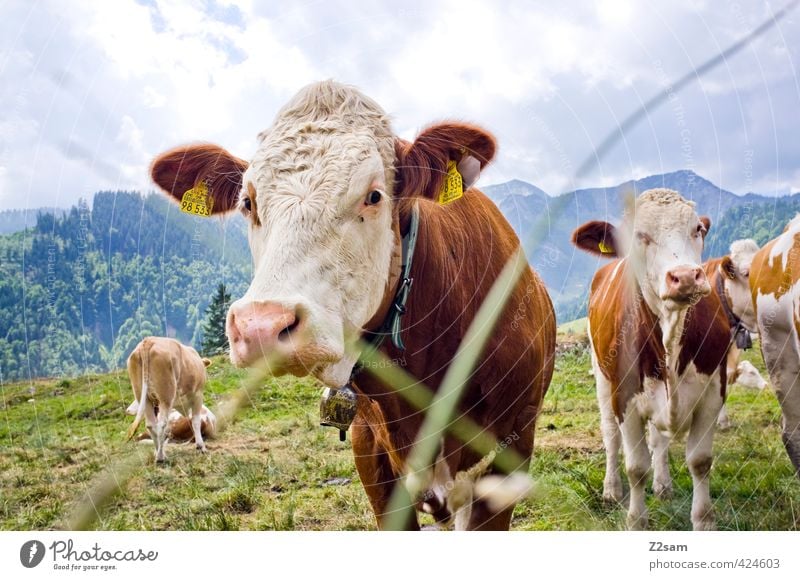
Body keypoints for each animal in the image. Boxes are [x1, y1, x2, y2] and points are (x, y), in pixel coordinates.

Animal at [568, 189, 732, 532]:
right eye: (638, 235)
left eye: (697, 229)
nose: (685, 276)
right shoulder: (625, 396)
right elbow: (636, 466)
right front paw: (636, 520)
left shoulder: (714, 390)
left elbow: (699, 461)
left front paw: (703, 520)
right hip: (602, 378)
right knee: (611, 436)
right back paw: (611, 489)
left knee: (658, 439)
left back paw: (663, 485)